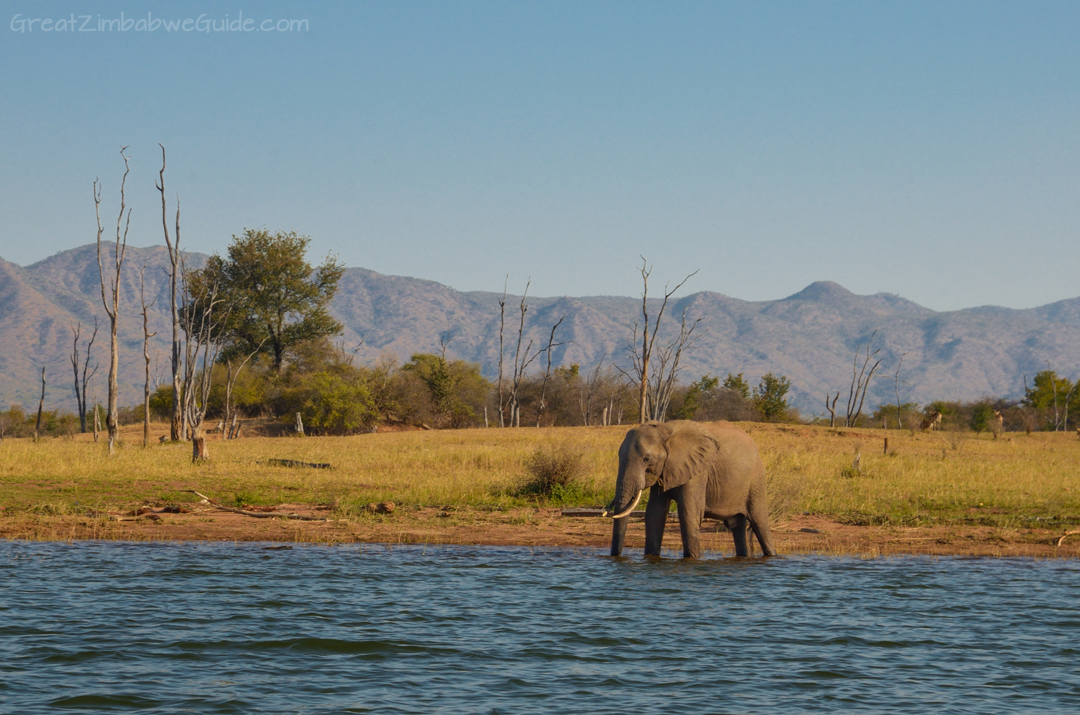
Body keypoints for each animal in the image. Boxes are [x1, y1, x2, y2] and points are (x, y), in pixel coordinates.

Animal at [600, 421, 777, 561]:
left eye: (646, 459)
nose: (616, 556)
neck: (664, 430)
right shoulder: (665, 469)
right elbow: (655, 514)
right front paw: (651, 557)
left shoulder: (698, 470)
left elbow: (689, 512)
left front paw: (692, 558)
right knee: (738, 527)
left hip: (756, 480)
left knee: (759, 522)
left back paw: (772, 556)